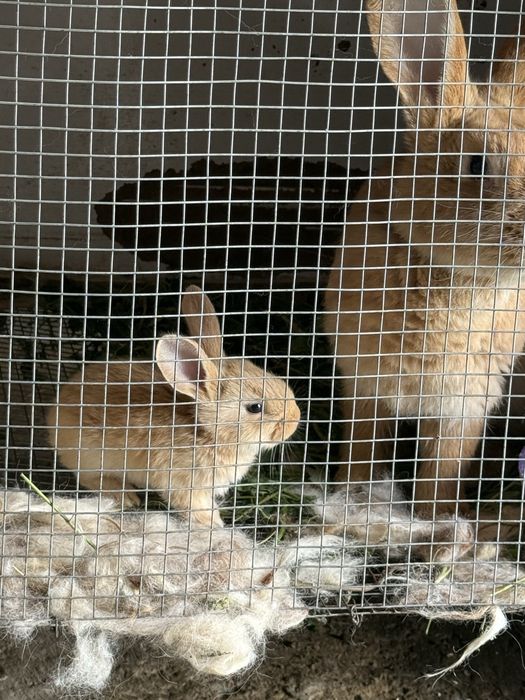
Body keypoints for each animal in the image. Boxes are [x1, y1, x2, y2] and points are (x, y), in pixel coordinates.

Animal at [47, 286, 301, 527]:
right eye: (255, 407)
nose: (295, 418)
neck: (206, 432)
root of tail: (55, 413)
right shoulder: (183, 483)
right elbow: (193, 506)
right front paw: (214, 524)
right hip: (92, 459)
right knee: (90, 478)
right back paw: (126, 496)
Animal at [324, 0, 525, 517]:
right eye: (477, 164)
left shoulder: (466, 402)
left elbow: (443, 470)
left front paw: (434, 518)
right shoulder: (365, 383)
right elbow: (363, 444)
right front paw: (353, 496)